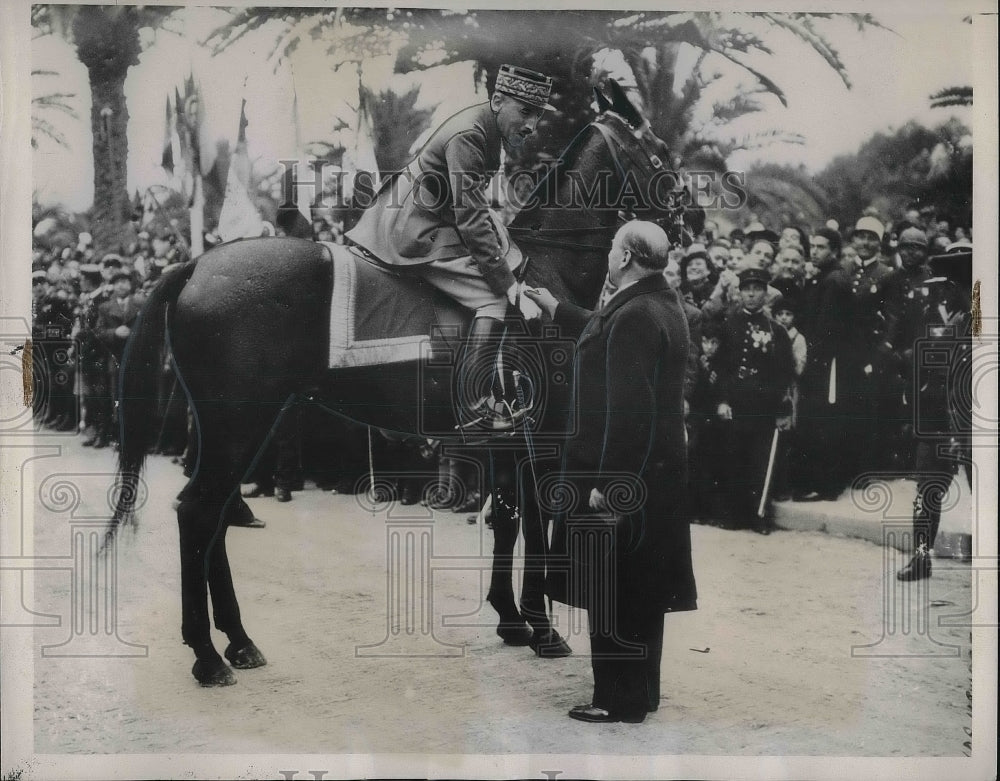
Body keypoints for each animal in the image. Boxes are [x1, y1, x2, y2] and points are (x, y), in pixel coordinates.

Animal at [113, 82, 700, 684]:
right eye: (658, 153)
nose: (693, 216)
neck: (547, 272)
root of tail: (198, 265)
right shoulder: (541, 444)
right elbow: (536, 528)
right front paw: (542, 629)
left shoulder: (507, 446)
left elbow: (506, 522)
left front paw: (511, 620)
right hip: (238, 425)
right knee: (198, 512)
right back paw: (208, 655)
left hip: (238, 427)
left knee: (215, 515)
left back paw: (237, 641)